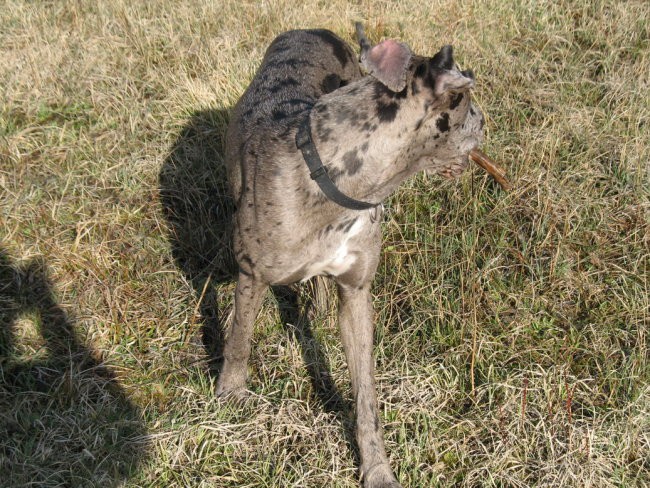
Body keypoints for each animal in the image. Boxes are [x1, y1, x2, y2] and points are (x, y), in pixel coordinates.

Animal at [220, 24, 484, 486]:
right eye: (464, 104)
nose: (486, 122)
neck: (334, 178)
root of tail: (313, 29)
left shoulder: (358, 294)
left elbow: (366, 395)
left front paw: (377, 467)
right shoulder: (251, 274)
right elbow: (239, 338)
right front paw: (228, 394)